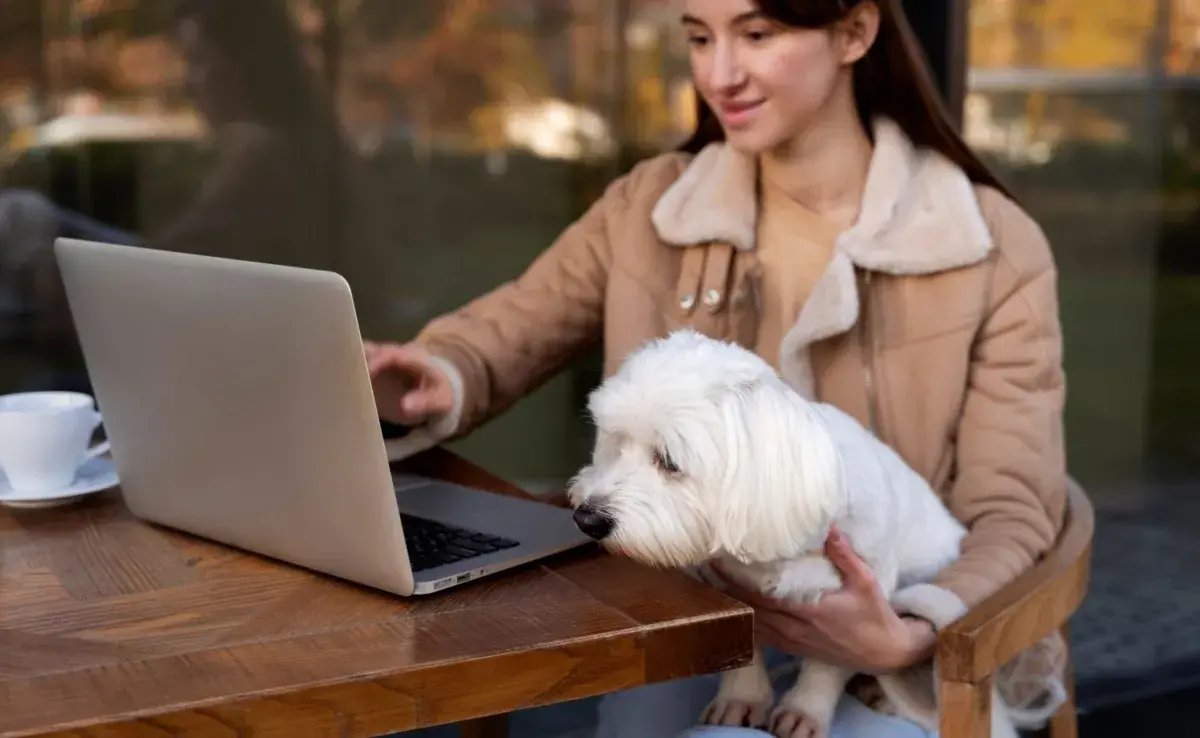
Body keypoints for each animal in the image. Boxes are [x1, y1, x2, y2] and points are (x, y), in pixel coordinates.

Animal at [568, 331, 1012, 738]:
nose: (587, 518)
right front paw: (742, 698)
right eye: (617, 444)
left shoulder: (853, 604)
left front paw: (805, 709)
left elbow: (829, 664)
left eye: (669, 461)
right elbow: (743, 652)